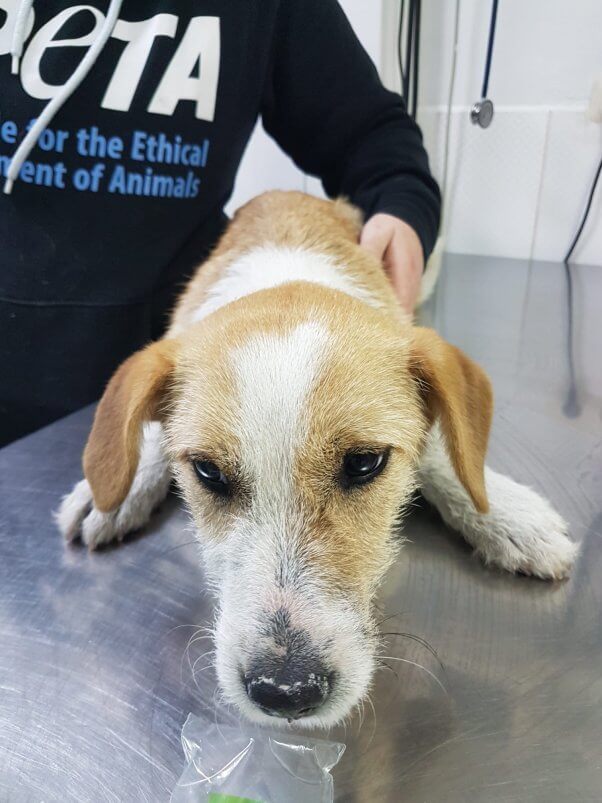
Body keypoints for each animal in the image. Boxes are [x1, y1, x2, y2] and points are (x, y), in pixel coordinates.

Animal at [56, 190, 576, 728]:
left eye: (365, 463)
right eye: (208, 471)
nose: (285, 691)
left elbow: (436, 447)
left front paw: (505, 515)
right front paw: (126, 484)